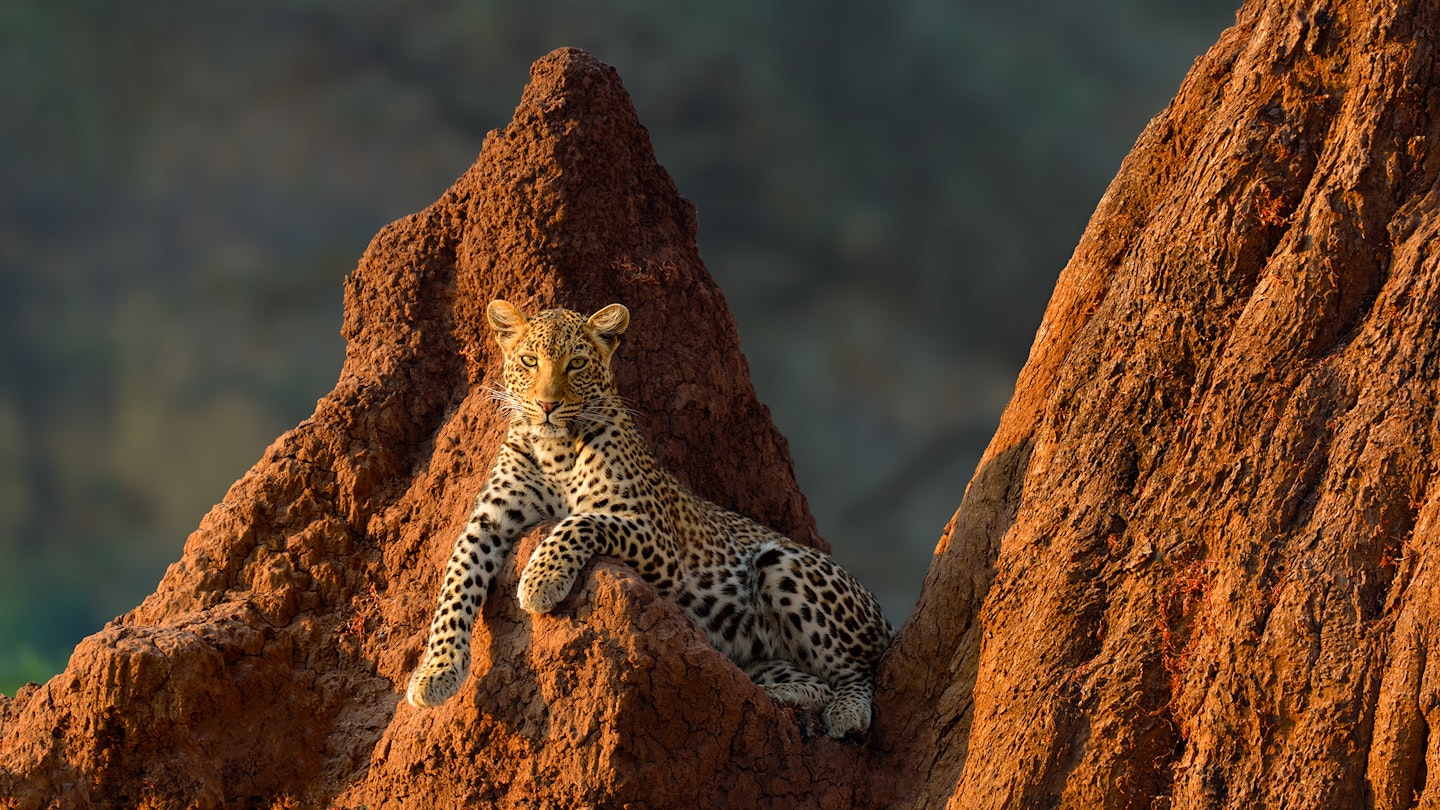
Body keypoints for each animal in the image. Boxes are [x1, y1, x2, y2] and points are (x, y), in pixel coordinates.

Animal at [405, 299, 893, 738]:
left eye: (576, 363)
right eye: (529, 361)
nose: (546, 405)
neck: (553, 449)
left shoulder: (655, 536)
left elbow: (579, 522)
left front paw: (540, 582)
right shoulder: (484, 524)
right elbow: (454, 587)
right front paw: (435, 673)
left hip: (785, 565)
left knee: (858, 670)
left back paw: (846, 714)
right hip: (757, 652)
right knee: (813, 682)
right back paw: (771, 699)